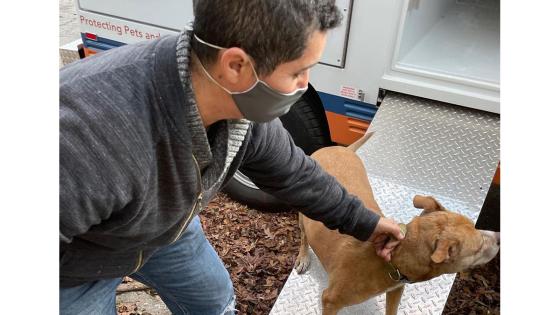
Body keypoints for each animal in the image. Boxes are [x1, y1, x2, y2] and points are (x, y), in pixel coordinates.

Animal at [296, 136, 500, 315]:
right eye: (479, 245)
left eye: (475, 226)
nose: (499, 236)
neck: (392, 259)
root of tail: (342, 148)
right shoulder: (330, 301)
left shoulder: (396, 290)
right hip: (303, 214)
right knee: (304, 236)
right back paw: (303, 257)